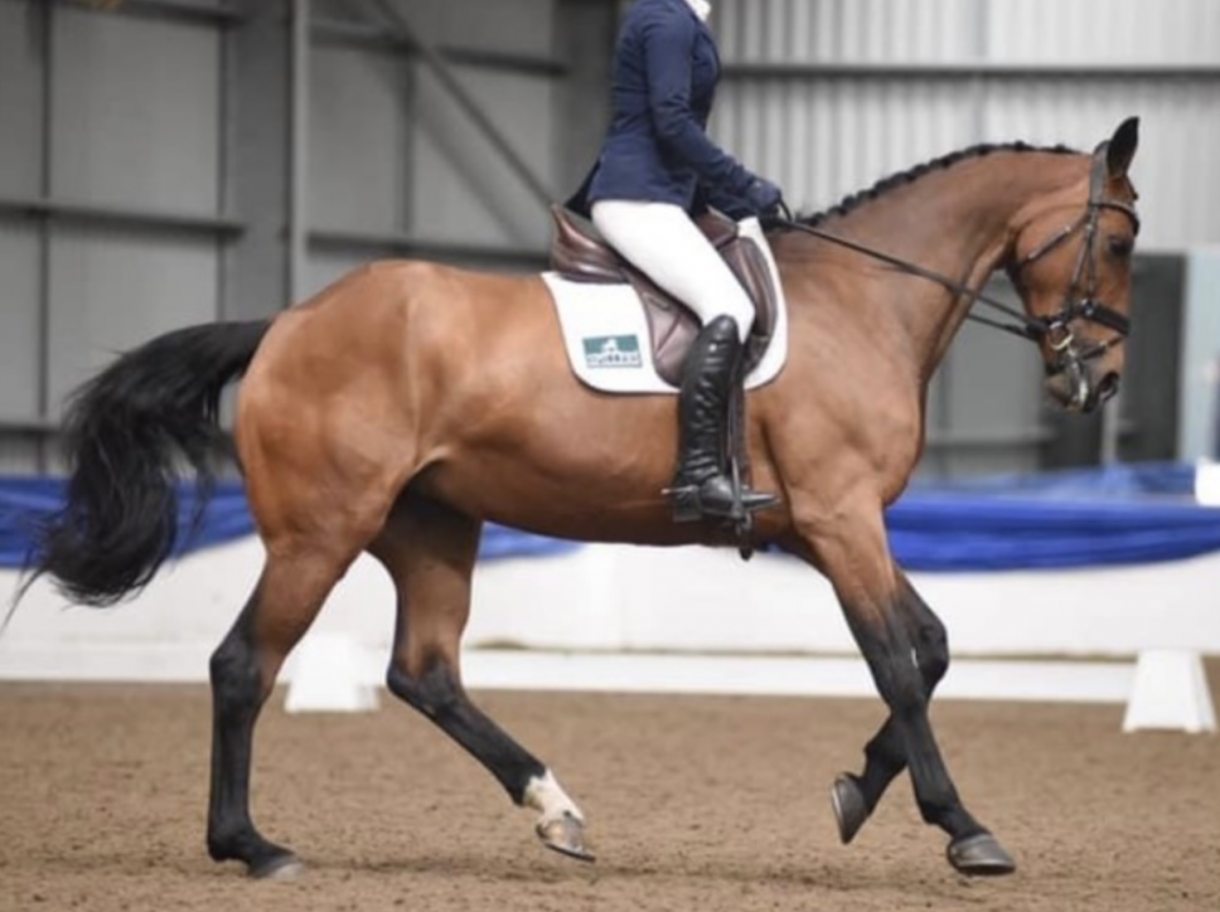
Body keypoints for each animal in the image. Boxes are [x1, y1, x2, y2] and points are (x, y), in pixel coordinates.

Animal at [27, 118, 1142, 880]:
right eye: (1122, 242)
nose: (1099, 380)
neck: (861, 303)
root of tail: (288, 323)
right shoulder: (839, 516)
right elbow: (899, 666)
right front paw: (964, 830)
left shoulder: (828, 527)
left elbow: (932, 647)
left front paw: (856, 796)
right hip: (320, 531)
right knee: (242, 666)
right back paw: (252, 846)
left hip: (432, 527)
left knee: (425, 673)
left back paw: (554, 809)